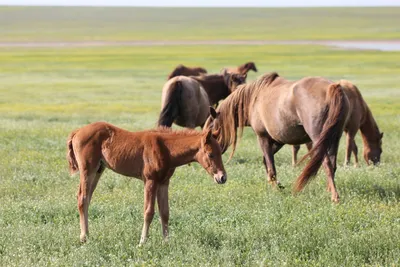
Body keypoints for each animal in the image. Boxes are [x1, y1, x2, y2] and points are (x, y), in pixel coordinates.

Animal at [67, 122, 227, 246]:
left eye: (221, 153)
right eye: (211, 154)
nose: (222, 177)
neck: (165, 148)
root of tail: (77, 132)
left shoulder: (164, 183)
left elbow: (165, 212)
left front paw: (166, 242)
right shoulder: (150, 181)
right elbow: (149, 211)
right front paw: (142, 242)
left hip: (98, 170)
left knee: (87, 198)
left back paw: (87, 234)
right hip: (88, 170)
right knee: (82, 198)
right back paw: (84, 238)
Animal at [205, 72, 352, 202]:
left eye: (211, 131)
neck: (253, 98)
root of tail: (332, 87)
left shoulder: (263, 137)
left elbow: (271, 166)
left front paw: (275, 189)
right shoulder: (278, 140)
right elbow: (266, 161)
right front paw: (277, 185)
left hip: (318, 139)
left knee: (326, 163)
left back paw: (334, 197)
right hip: (334, 138)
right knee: (332, 164)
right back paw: (329, 189)